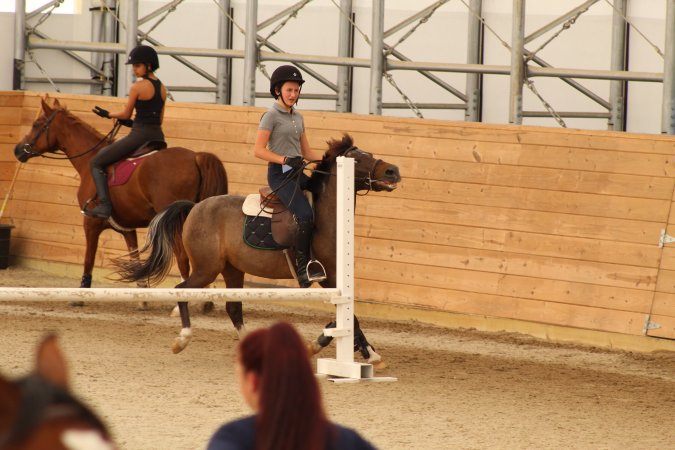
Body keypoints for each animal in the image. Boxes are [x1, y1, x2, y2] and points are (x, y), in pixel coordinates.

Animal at [12, 96, 230, 290]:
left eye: (36, 124)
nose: (17, 150)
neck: (89, 159)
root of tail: (195, 156)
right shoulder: (128, 229)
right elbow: (135, 260)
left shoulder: (90, 223)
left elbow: (88, 260)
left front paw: (81, 293)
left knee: (184, 258)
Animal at [115, 135, 402, 368]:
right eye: (357, 158)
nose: (393, 171)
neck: (329, 216)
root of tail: (194, 207)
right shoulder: (328, 277)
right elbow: (350, 318)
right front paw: (372, 355)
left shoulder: (337, 282)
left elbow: (344, 319)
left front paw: (341, 347)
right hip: (207, 269)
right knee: (182, 290)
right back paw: (183, 339)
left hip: (232, 270)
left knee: (233, 308)